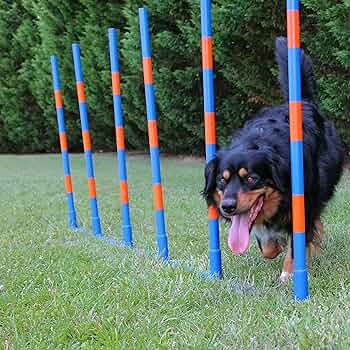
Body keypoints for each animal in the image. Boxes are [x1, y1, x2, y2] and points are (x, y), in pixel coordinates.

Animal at [204, 37, 344, 280]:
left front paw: (289, 274)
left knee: (316, 215)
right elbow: (267, 246)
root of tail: (305, 102)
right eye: (222, 179)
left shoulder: (301, 200)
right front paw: (275, 245)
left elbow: (297, 242)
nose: (227, 207)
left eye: (251, 178)